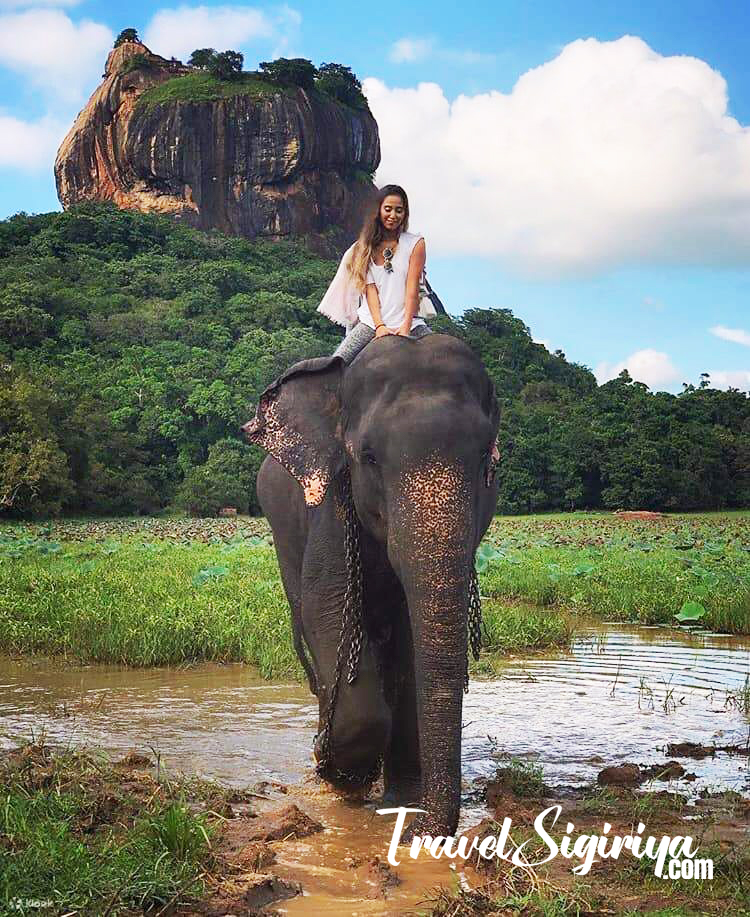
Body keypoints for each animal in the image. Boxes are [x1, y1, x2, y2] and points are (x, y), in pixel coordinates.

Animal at [242, 332, 500, 838]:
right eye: (369, 458)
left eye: (485, 456)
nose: (422, 832)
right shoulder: (331, 507)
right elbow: (326, 611)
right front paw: (340, 778)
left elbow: (413, 647)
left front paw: (401, 800)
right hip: (281, 531)